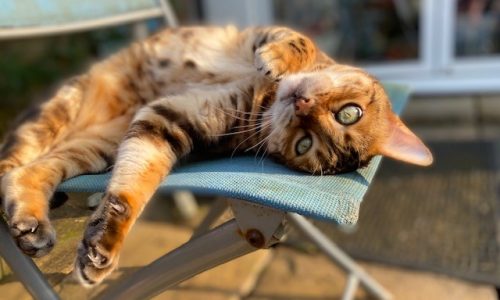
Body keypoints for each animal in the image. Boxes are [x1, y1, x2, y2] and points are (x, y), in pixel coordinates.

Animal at [0, 24, 432, 284]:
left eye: (304, 144)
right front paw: (275, 60)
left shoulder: (169, 120)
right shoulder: (268, 37)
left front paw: (103, 246)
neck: (265, 99)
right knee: (13, 161)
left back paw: (31, 224)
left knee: (28, 173)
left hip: (97, 144)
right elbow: (297, 41)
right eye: (350, 113)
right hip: (63, 109)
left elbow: (132, 188)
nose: (301, 104)